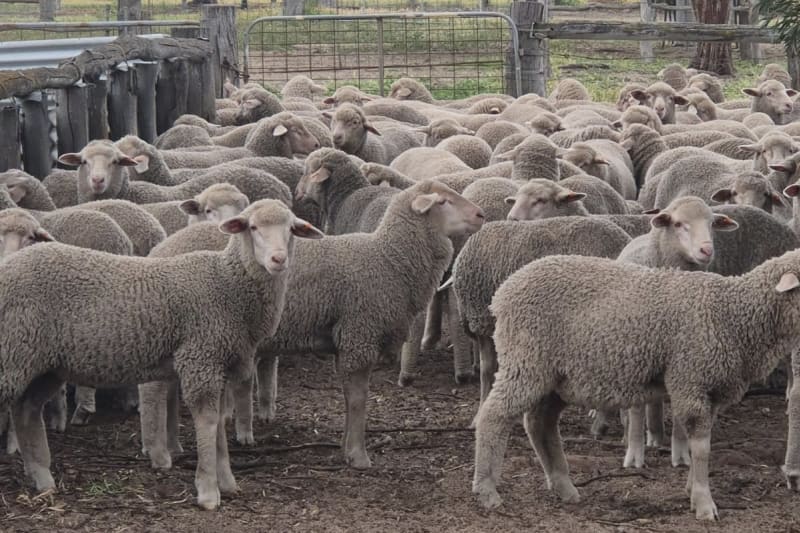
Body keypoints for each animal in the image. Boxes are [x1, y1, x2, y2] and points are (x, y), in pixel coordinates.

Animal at [0, 199, 323, 509]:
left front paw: (227, 481)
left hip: (44, 365)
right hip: (13, 355)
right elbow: (207, 422)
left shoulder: (219, 363)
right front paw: (208, 491)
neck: (227, 284)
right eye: (253, 227)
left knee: (26, 410)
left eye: (292, 229)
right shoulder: (201, 357)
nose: (278, 260)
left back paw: (42, 477)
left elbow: (219, 422)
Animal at [474, 249, 800, 521]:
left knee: (539, 423)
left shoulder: (711, 390)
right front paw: (705, 504)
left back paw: (564, 486)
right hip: (526, 361)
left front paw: (691, 490)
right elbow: (702, 448)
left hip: (556, 376)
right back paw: (487, 490)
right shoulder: (690, 379)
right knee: (494, 415)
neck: (732, 314)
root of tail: (503, 292)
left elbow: (697, 445)